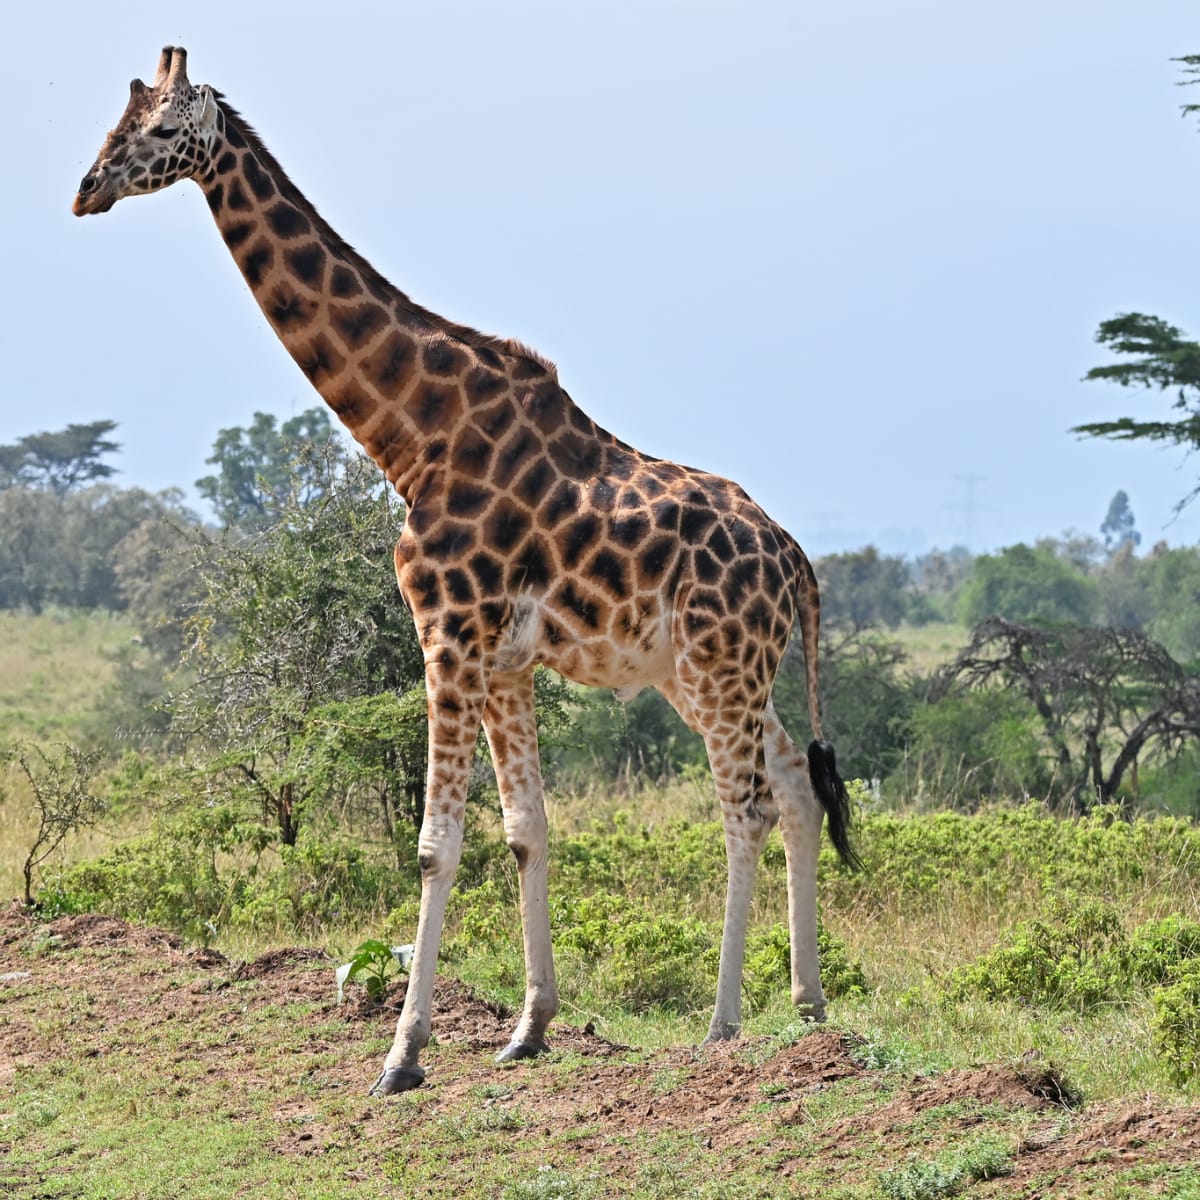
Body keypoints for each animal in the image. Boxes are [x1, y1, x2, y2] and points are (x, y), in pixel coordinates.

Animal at [73, 47, 859, 1096]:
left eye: (161, 131)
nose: (85, 190)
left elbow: (435, 846)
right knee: (798, 786)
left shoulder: (445, 630)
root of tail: (797, 561)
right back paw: (810, 1012)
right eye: (114, 121)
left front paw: (402, 1055)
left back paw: (725, 1026)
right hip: (718, 671)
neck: (413, 434)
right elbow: (527, 828)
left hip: (716, 668)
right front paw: (528, 1028)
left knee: (747, 808)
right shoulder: (506, 657)